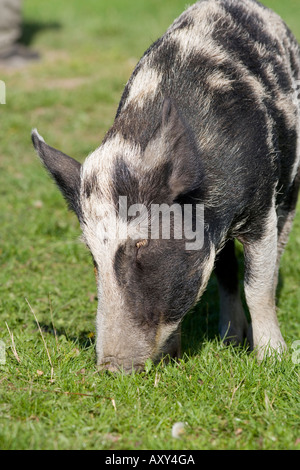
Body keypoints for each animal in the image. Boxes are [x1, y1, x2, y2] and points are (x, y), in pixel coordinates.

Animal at [31, 0, 298, 370]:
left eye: (142, 244)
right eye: (92, 254)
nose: (110, 367)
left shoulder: (260, 207)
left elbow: (258, 287)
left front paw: (272, 360)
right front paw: (175, 357)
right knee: (226, 272)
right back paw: (229, 339)